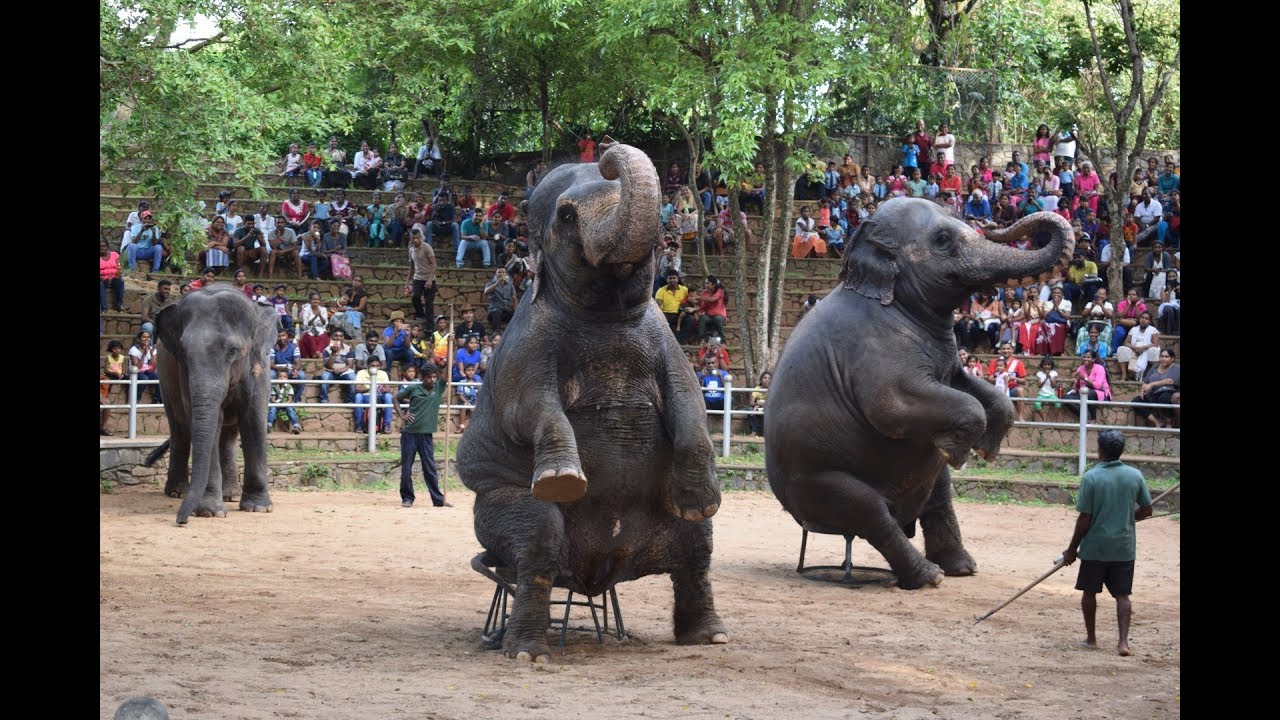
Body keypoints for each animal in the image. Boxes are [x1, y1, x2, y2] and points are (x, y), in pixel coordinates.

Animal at [149, 284, 278, 525]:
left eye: (233, 351)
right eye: (183, 353)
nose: (181, 521)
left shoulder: (260, 366)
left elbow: (253, 419)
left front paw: (258, 508)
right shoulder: (183, 372)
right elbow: (209, 420)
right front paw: (209, 512)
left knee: (227, 438)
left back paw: (231, 495)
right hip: (164, 379)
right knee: (180, 429)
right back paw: (177, 492)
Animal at [457, 141, 727, 663]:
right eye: (566, 214)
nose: (603, 152)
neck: (605, 313)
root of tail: (594, 575)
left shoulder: (666, 340)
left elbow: (690, 400)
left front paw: (704, 497)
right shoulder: (526, 347)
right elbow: (530, 408)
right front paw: (562, 480)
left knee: (699, 544)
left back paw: (711, 636)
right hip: (498, 504)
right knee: (537, 542)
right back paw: (528, 652)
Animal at [765, 200, 1073, 589]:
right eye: (942, 239)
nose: (991, 223)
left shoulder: (950, 359)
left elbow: (974, 389)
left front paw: (986, 451)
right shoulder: (872, 349)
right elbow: (893, 408)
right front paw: (957, 452)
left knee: (939, 495)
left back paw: (961, 568)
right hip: (814, 478)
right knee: (870, 511)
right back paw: (929, 576)